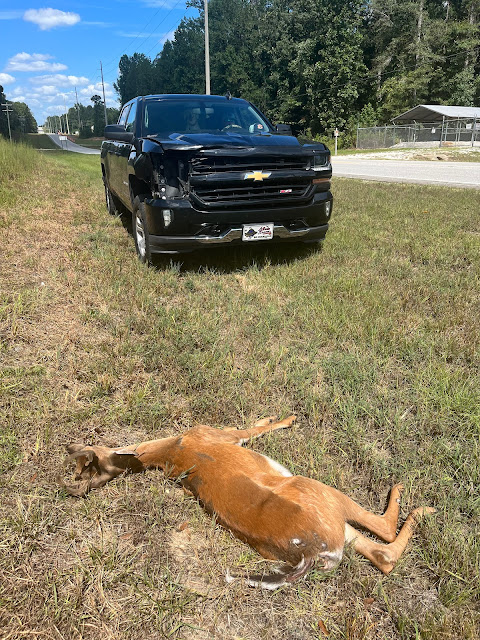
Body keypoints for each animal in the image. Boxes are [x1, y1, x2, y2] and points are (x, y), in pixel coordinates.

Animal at [60, 415, 435, 589]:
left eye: (86, 467)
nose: (70, 446)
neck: (172, 450)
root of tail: (311, 555)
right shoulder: (219, 434)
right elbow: (250, 429)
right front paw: (285, 418)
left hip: (336, 527)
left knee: (382, 555)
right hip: (318, 491)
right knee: (383, 531)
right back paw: (415, 499)